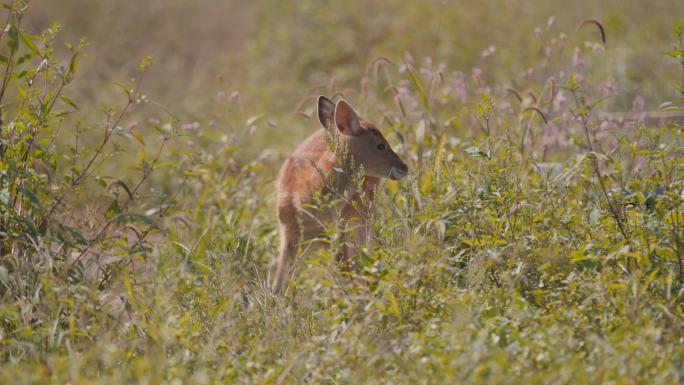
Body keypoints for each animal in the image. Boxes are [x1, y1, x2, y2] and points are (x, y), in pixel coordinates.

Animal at [272, 95, 412, 292]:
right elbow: (279, 281)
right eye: (381, 145)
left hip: (363, 214)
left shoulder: (337, 232)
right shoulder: (289, 233)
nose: (403, 167)